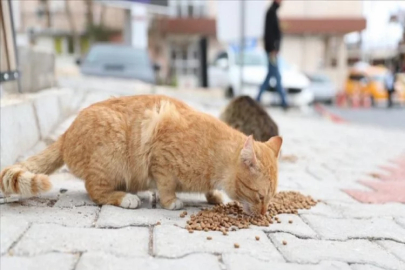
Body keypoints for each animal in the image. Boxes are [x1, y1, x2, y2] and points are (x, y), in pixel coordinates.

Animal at [0, 95, 280, 215]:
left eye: (270, 198)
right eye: (260, 196)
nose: (264, 212)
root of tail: (66, 134)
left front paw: (214, 195)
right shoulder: (161, 157)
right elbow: (166, 185)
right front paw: (171, 201)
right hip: (111, 155)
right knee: (95, 190)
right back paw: (126, 198)